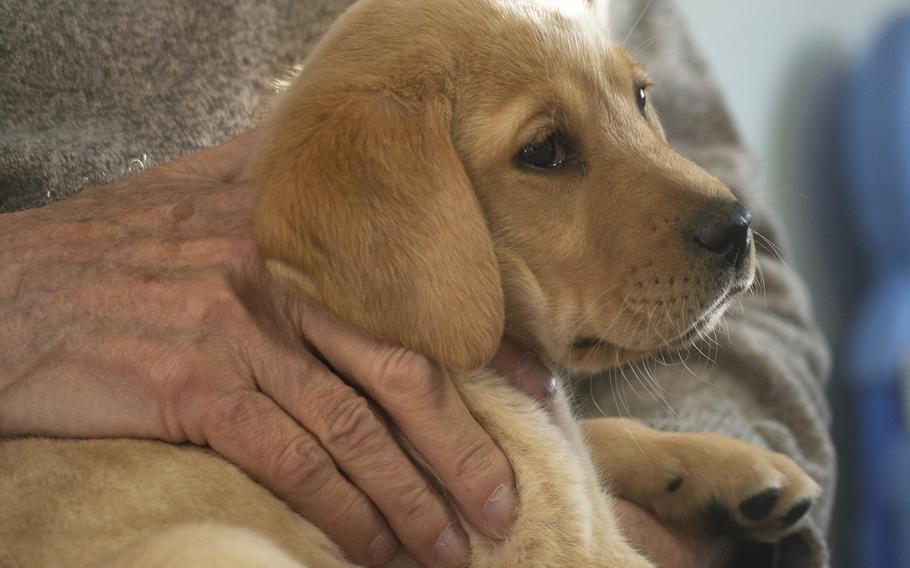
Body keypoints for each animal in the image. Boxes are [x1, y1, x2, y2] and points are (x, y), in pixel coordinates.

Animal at [0, 0, 824, 564]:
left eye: (643, 99)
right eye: (546, 151)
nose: (741, 227)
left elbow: (601, 434)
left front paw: (725, 471)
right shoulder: (560, 542)